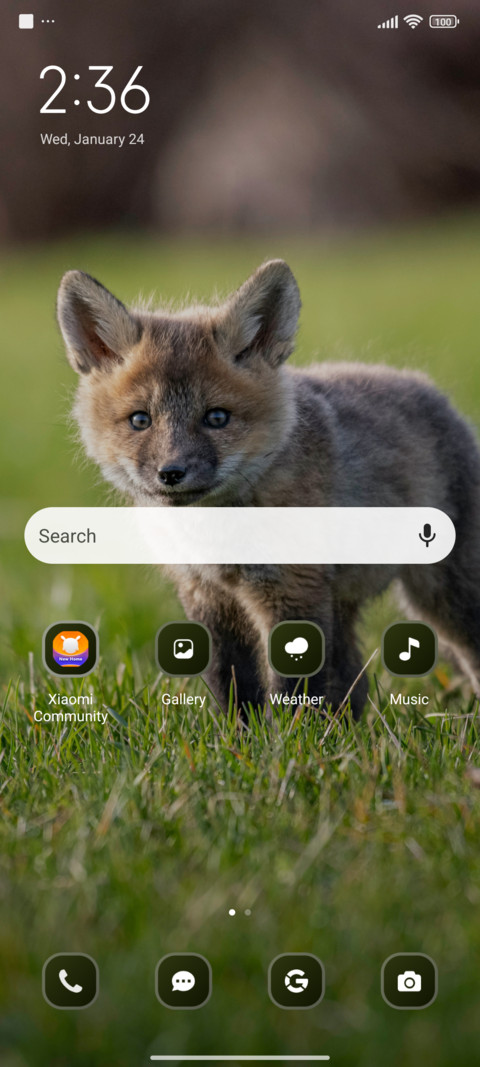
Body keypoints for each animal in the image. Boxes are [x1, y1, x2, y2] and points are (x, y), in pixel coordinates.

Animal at [57, 259, 480, 717]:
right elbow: (231, 684)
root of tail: (428, 388)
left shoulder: (291, 589)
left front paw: (297, 736)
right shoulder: (208, 596)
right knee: (354, 682)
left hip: (444, 596)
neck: (217, 538)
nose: (171, 472)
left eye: (217, 418)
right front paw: (239, 736)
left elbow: (293, 685)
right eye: (140, 420)